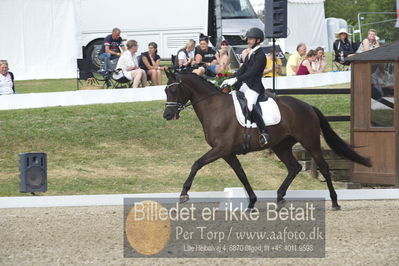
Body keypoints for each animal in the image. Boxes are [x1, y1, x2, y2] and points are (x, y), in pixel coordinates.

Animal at [162, 70, 372, 210]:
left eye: (175, 90)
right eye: (165, 90)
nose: (167, 115)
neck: (214, 107)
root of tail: (307, 106)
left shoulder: (221, 149)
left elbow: (197, 163)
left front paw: (184, 194)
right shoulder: (227, 153)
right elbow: (241, 174)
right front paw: (252, 201)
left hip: (310, 141)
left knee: (324, 167)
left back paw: (335, 201)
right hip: (281, 146)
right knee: (294, 167)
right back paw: (279, 198)